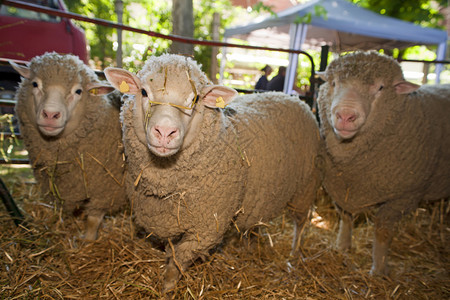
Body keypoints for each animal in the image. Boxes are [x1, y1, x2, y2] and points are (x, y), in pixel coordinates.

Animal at [11, 52, 127, 240]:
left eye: (78, 91)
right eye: (35, 84)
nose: (50, 114)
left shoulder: (107, 188)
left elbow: (93, 219)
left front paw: (88, 241)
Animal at [104, 53, 324, 290]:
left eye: (195, 99)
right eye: (144, 92)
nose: (164, 131)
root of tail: (295, 99)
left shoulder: (207, 229)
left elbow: (178, 260)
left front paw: (168, 287)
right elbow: (170, 250)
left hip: (306, 186)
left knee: (300, 224)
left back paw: (294, 254)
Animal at [316, 50, 450, 276]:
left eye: (380, 87)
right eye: (334, 83)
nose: (345, 116)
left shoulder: (403, 198)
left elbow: (382, 232)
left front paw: (378, 269)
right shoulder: (341, 187)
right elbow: (345, 217)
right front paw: (342, 247)